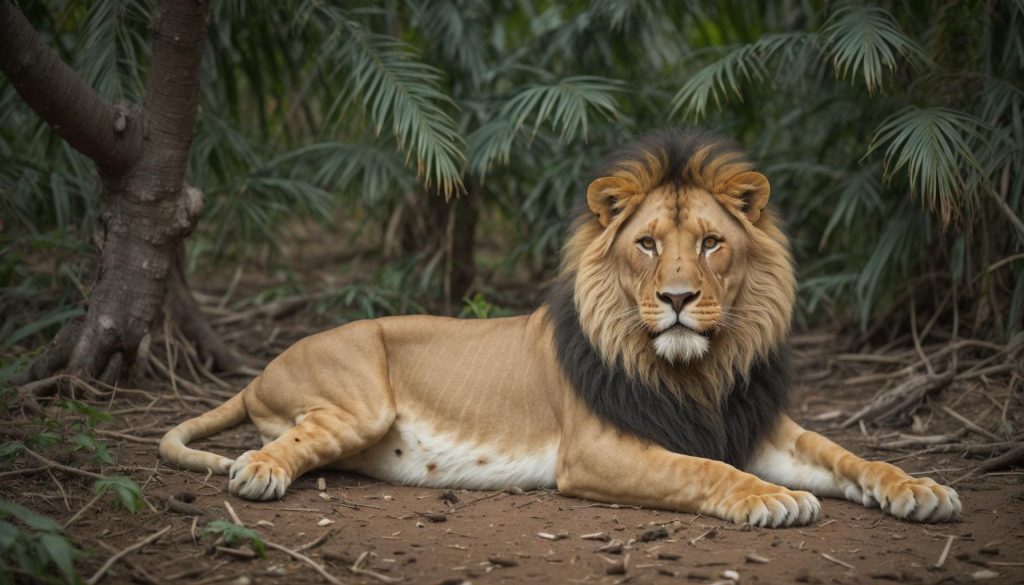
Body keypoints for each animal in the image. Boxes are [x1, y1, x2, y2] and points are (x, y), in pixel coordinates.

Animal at [161, 129, 961, 527]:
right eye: (647, 244)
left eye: (710, 243)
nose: (677, 297)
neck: (700, 370)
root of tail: (262, 370)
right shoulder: (597, 450)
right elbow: (703, 469)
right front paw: (769, 499)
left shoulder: (757, 427)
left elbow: (849, 455)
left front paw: (920, 487)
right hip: (356, 399)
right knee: (280, 443)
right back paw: (259, 471)